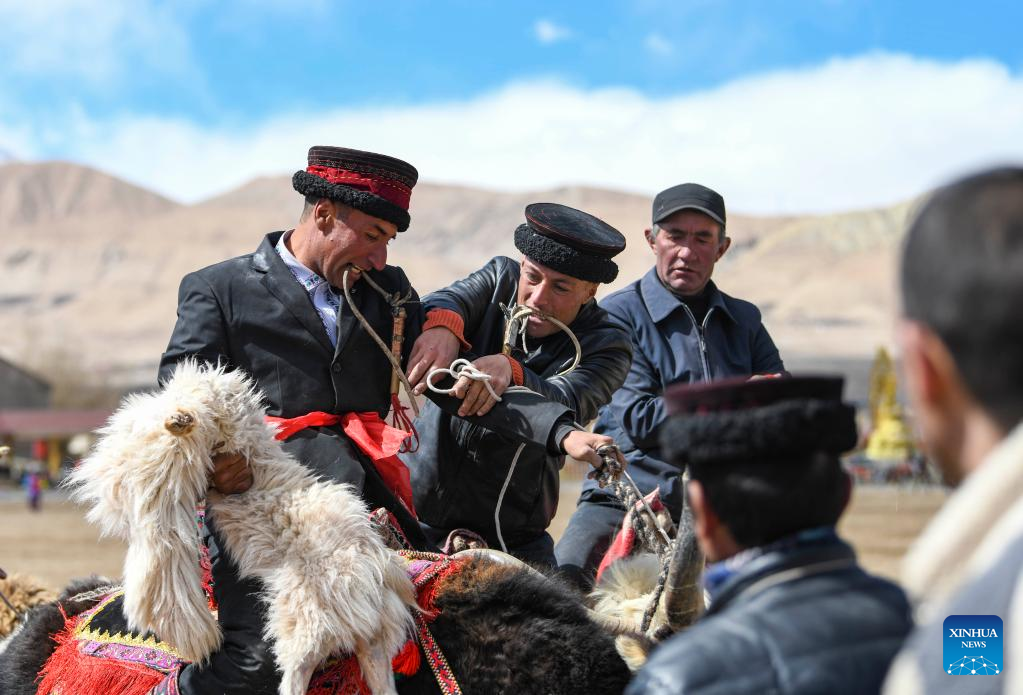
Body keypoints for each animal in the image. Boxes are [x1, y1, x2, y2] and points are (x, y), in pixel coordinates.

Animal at [67, 360, 417, 695]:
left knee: (295, 676)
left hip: (306, 623)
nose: (176, 417)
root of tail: (375, 578)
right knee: (376, 680)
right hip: (358, 637)